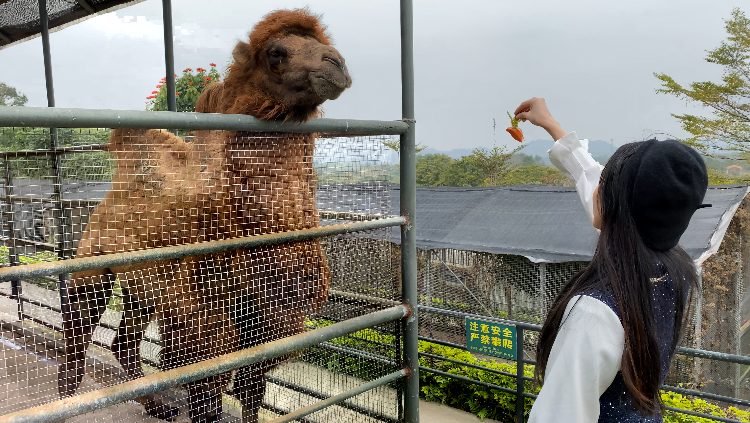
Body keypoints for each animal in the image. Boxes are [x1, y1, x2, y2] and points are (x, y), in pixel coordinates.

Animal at [58, 9, 352, 423]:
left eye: (323, 43)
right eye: (276, 53)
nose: (336, 64)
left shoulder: (272, 321)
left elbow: (252, 391)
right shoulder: (203, 315)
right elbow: (207, 396)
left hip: (141, 287)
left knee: (123, 342)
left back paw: (160, 407)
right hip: (95, 263)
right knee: (78, 333)